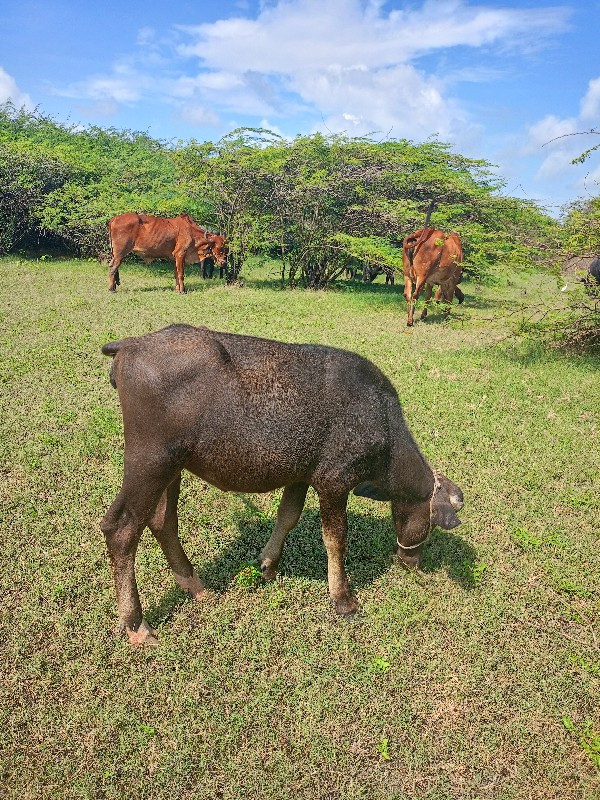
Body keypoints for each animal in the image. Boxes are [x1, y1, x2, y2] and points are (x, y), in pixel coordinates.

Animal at [101, 324, 464, 644]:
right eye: (432, 523)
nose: (413, 562)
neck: (381, 422)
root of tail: (131, 344)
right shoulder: (334, 482)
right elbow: (335, 540)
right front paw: (342, 599)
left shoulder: (300, 476)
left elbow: (287, 516)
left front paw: (267, 564)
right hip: (150, 461)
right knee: (121, 528)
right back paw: (136, 624)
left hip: (171, 468)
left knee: (162, 521)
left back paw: (195, 586)